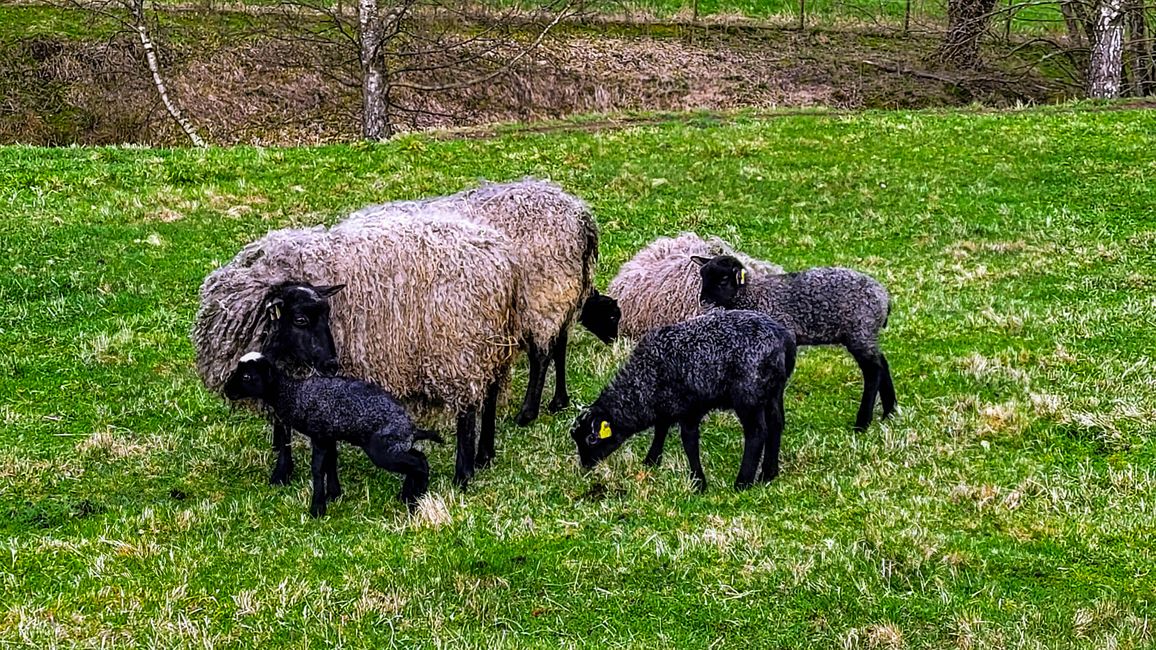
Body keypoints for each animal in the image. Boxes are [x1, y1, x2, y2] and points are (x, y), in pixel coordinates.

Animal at [194, 215, 520, 488]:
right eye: (301, 320)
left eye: (327, 316)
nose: (331, 363)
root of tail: (502, 257)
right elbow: (283, 421)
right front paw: (286, 471)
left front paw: (297, 476)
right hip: (491, 343)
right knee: (490, 395)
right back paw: (484, 455)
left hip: (460, 348)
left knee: (467, 412)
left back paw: (463, 474)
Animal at [221, 351, 441, 513]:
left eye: (247, 376)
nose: (227, 390)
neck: (291, 394)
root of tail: (411, 428)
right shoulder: (329, 436)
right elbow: (331, 463)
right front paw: (334, 494)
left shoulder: (319, 435)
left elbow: (318, 469)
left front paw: (317, 508)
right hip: (396, 445)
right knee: (419, 457)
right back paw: (409, 495)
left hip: (383, 450)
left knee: (418, 463)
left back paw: (414, 500)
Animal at [568, 307, 795, 490]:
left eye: (591, 439)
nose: (585, 465)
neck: (645, 381)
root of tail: (783, 338)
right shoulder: (668, 404)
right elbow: (661, 428)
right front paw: (651, 460)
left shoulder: (689, 409)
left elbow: (689, 442)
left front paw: (698, 483)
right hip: (774, 391)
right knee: (776, 423)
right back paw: (768, 474)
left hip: (749, 395)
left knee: (757, 433)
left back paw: (743, 482)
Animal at [688, 253, 897, 430]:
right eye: (703, 276)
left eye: (723, 279)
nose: (703, 301)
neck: (753, 296)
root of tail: (884, 298)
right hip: (864, 334)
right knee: (882, 362)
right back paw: (889, 412)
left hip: (859, 330)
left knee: (873, 370)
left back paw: (862, 423)